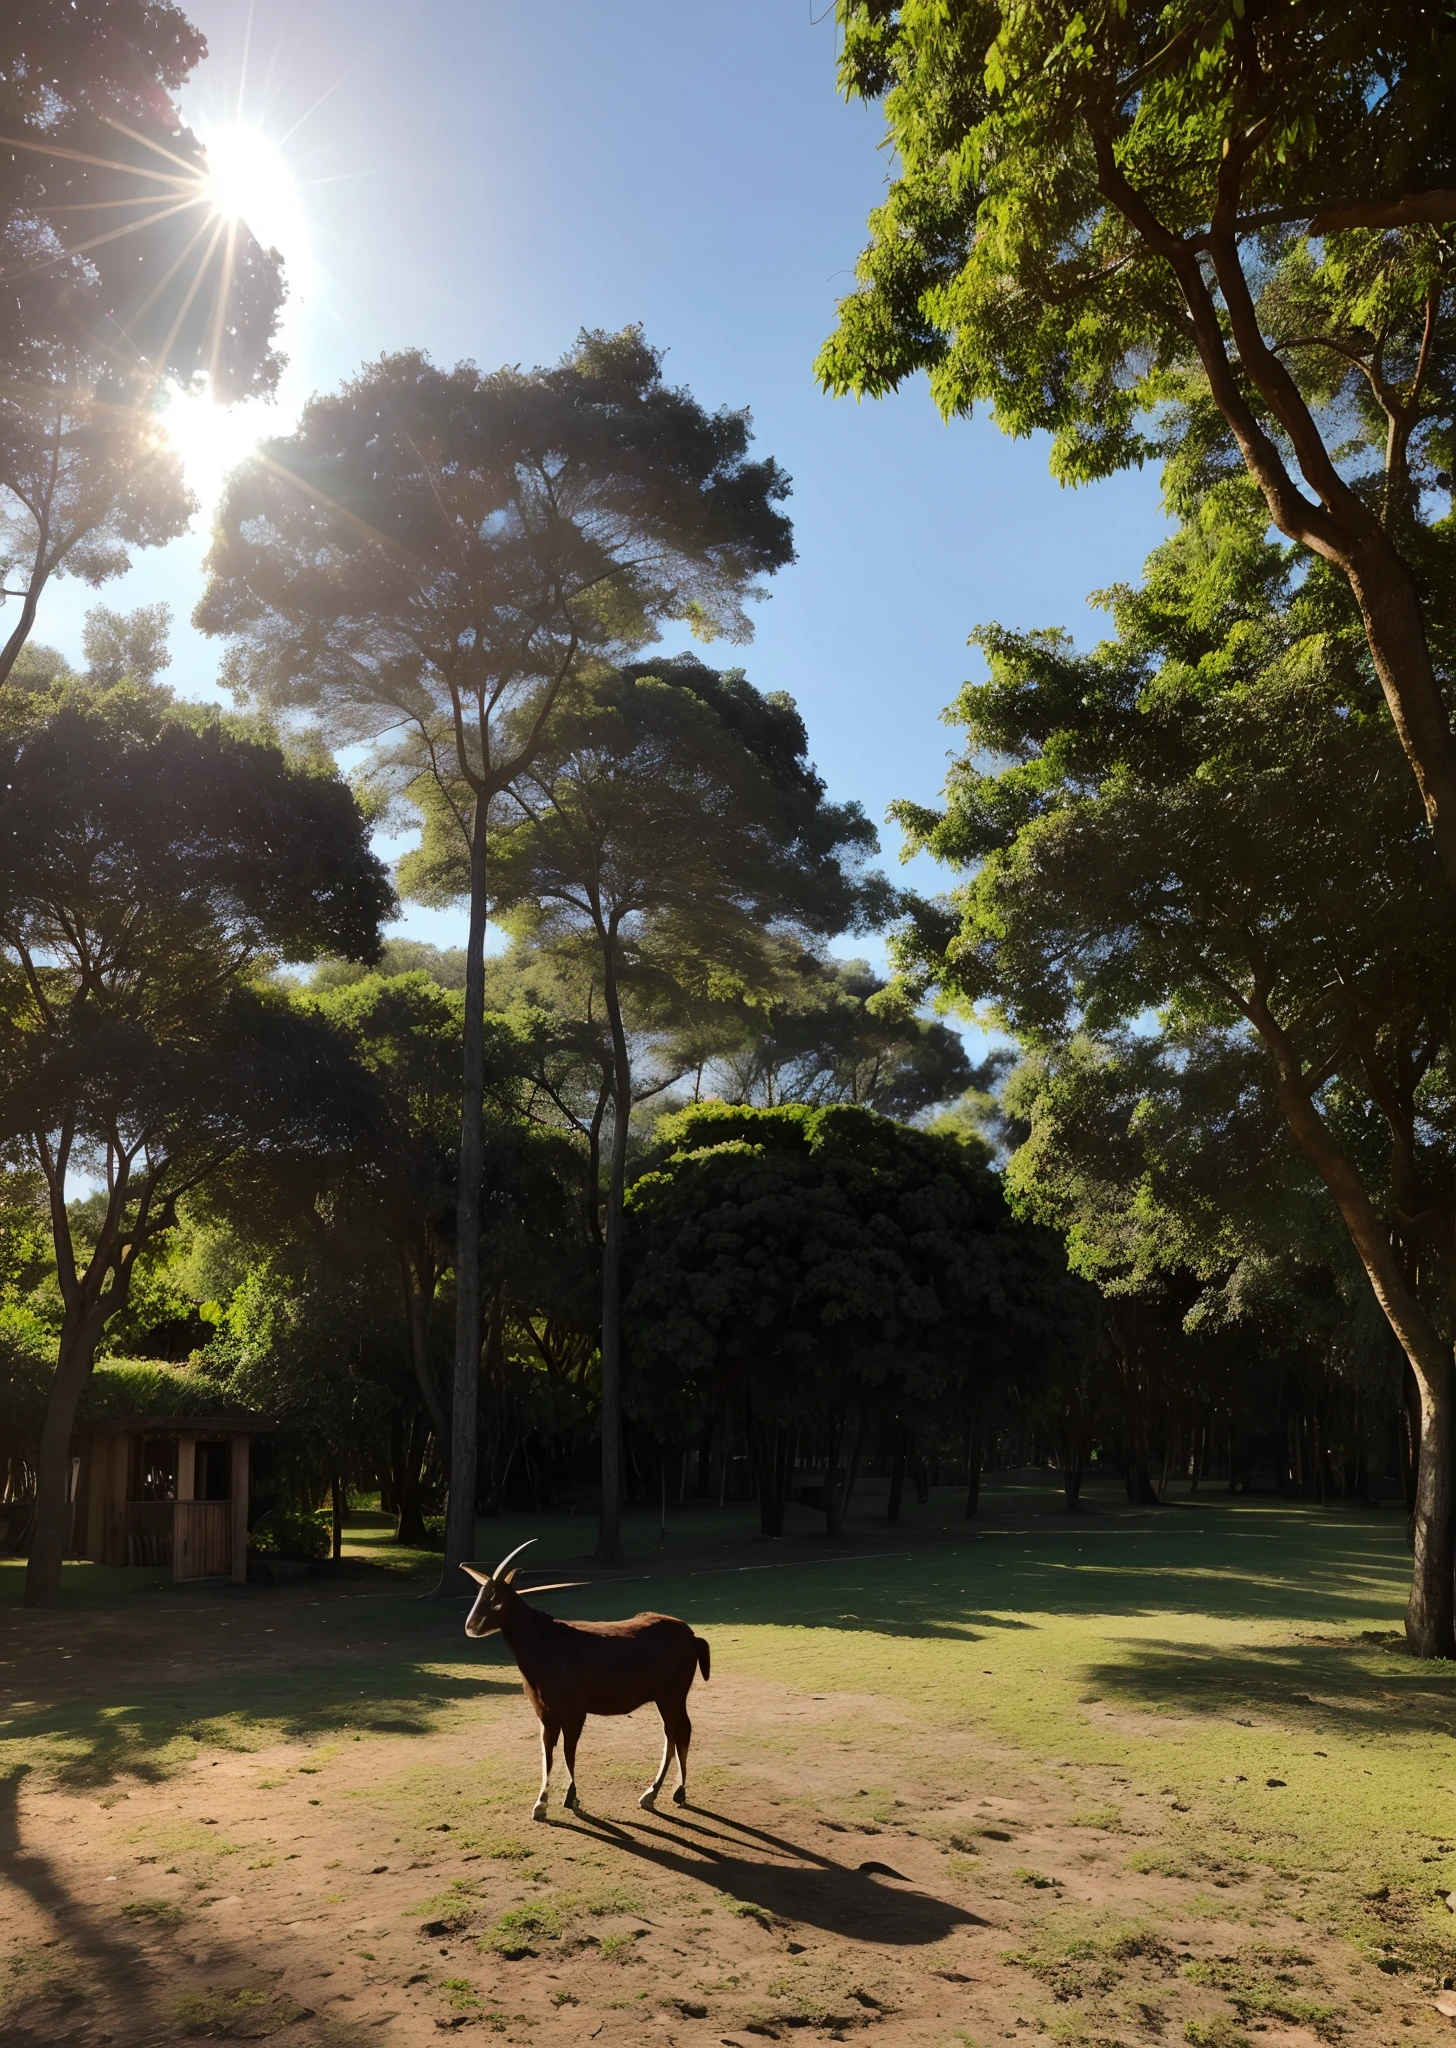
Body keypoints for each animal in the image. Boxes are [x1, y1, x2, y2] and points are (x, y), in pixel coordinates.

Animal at [466, 1540, 712, 1826]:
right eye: (481, 1594)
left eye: (496, 1598)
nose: (471, 1626)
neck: (545, 1640)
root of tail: (694, 1637)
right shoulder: (545, 1712)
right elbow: (548, 1752)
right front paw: (540, 1804)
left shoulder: (575, 1711)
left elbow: (568, 1750)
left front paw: (570, 1798)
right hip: (665, 1697)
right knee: (671, 1732)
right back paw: (652, 1794)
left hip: (673, 1694)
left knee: (681, 1729)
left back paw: (675, 1792)